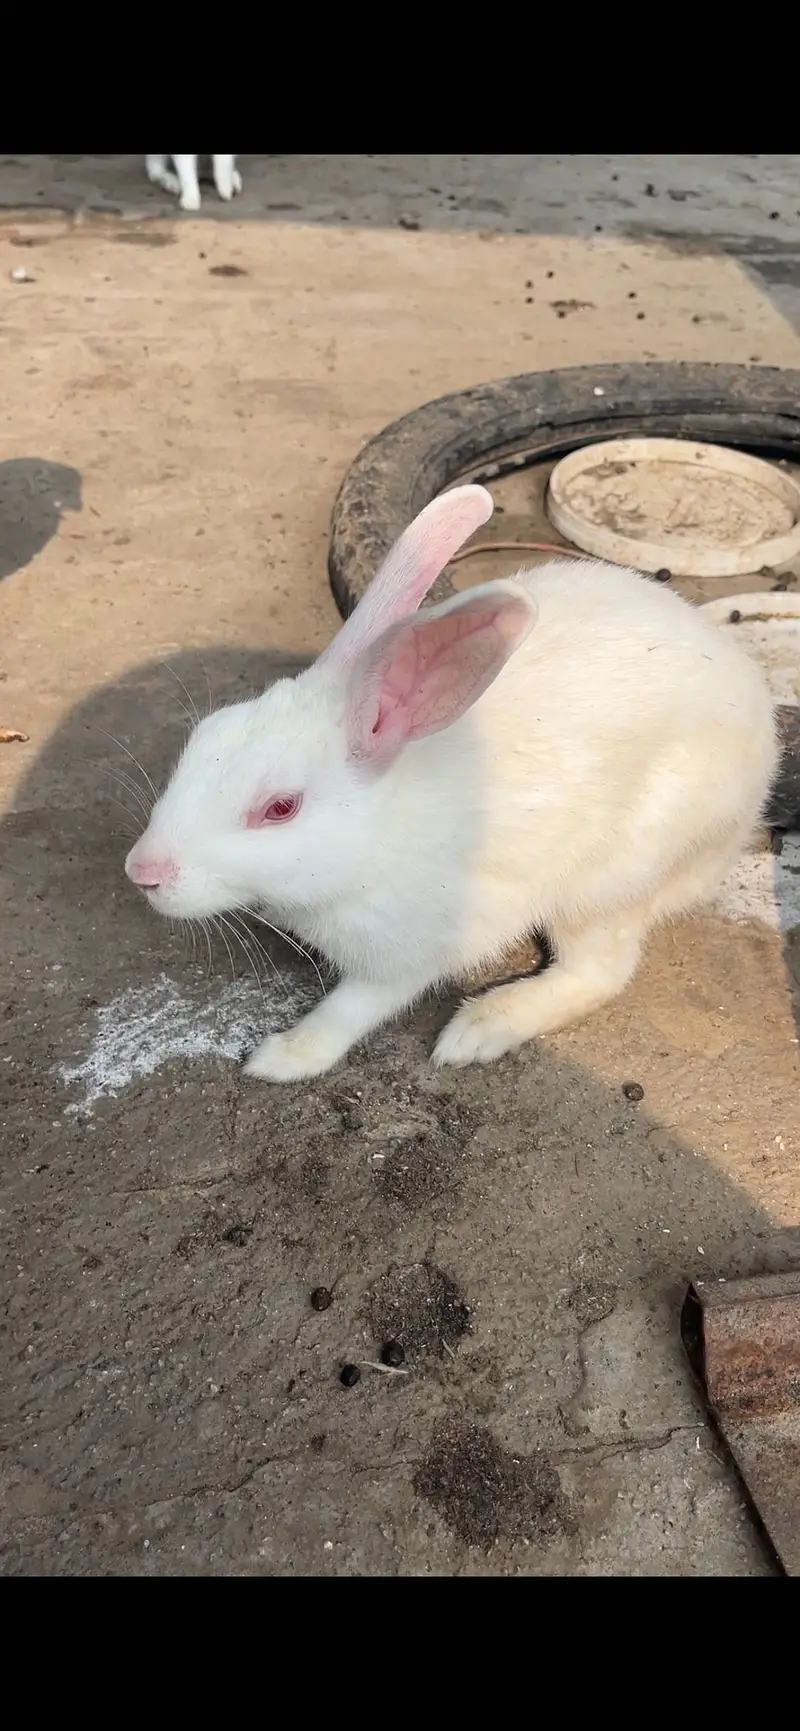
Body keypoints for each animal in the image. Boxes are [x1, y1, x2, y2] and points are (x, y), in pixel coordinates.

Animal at [124, 484, 778, 1083]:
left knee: (599, 972)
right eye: (204, 735)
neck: (378, 834)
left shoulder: (409, 953)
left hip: (607, 883)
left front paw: (281, 1059)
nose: (143, 872)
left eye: (280, 807)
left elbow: (349, 1010)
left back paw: (479, 1029)